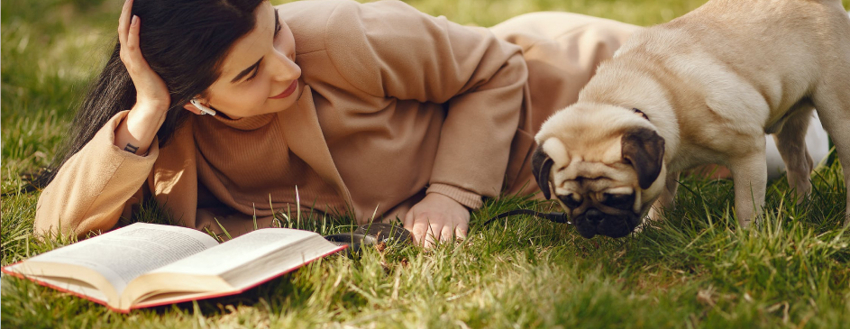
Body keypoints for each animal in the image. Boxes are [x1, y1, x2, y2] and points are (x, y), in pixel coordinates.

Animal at [528, 0, 848, 237]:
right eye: (567, 200)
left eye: (617, 198)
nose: (592, 218)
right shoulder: (664, 164)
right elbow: (661, 200)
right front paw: (649, 231)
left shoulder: (747, 153)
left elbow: (747, 204)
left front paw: (747, 237)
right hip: (791, 124)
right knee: (799, 164)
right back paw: (802, 207)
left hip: (837, 113)